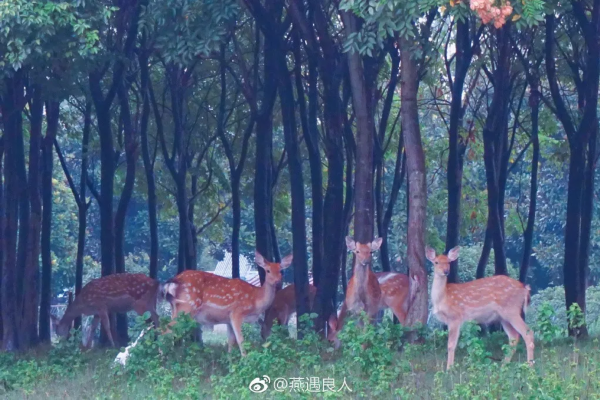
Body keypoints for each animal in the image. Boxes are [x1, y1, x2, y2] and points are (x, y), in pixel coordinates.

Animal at [162, 250, 292, 356]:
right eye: (268, 270)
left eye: (281, 271)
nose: (277, 282)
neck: (255, 300)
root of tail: (175, 279)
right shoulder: (237, 312)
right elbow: (241, 340)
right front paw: (245, 360)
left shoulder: (228, 319)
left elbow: (230, 341)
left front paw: (230, 362)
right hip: (187, 306)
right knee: (165, 330)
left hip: (175, 307)